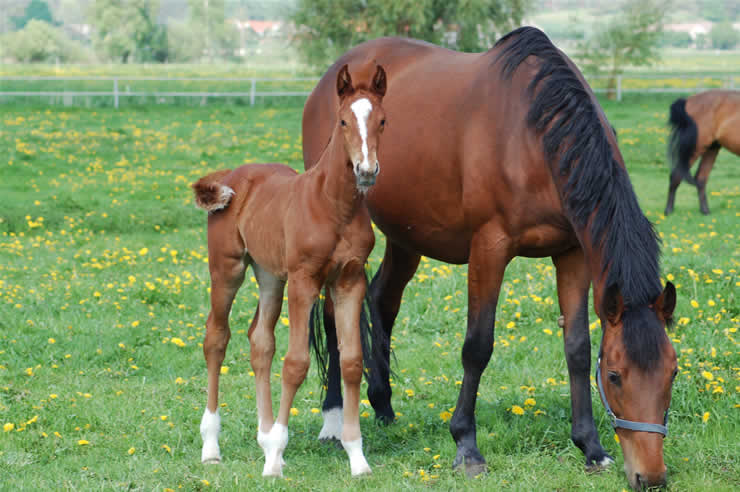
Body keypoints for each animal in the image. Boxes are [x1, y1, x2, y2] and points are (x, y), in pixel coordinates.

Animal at [191, 65, 388, 476]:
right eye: (343, 120)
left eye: (382, 121)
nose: (366, 171)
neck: (333, 205)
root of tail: (232, 174)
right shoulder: (304, 281)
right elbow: (296, 363)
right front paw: (275, 459)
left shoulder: (349, 281)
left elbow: (351, 361)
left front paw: (357, 457)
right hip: (228, 270)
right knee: (216, 337)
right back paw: (212, 446)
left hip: (269, 275)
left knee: (259, 340)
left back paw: (264, 437)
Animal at [300, 28, 676, 490]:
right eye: (616, 376)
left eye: (673, 372)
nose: (651, 476)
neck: (533, 137)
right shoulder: (489, 249)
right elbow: (477, 346)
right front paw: (466, 446)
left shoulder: (573, 254)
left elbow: (577, 348)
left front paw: (591, 446)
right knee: (334, 318)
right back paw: (334, 422)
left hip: (405, 239)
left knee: (381, 302)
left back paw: (384, 406)